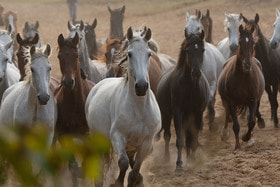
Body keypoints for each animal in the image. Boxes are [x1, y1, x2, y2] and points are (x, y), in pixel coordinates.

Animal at [85, 26, 161, 187]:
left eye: (149, 53)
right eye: (129, 54)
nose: (141, 87)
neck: (139, 109)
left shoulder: (147, 142)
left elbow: (134, 171)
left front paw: (136, 180)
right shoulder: (117, 136)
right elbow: (123, 163)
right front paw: (116, 182)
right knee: (100, 168)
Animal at [156, 30, 209, 169]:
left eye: (202, 50)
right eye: (188, 50)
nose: (196, 73)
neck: (190, 87)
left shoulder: (198, 113)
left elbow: (194, 138)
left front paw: (192, 159)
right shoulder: (178, 113)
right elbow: (179, 139)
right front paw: (179, 163)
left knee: (188, 137)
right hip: (166, 114)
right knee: (167, 135)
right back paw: (167, 157)